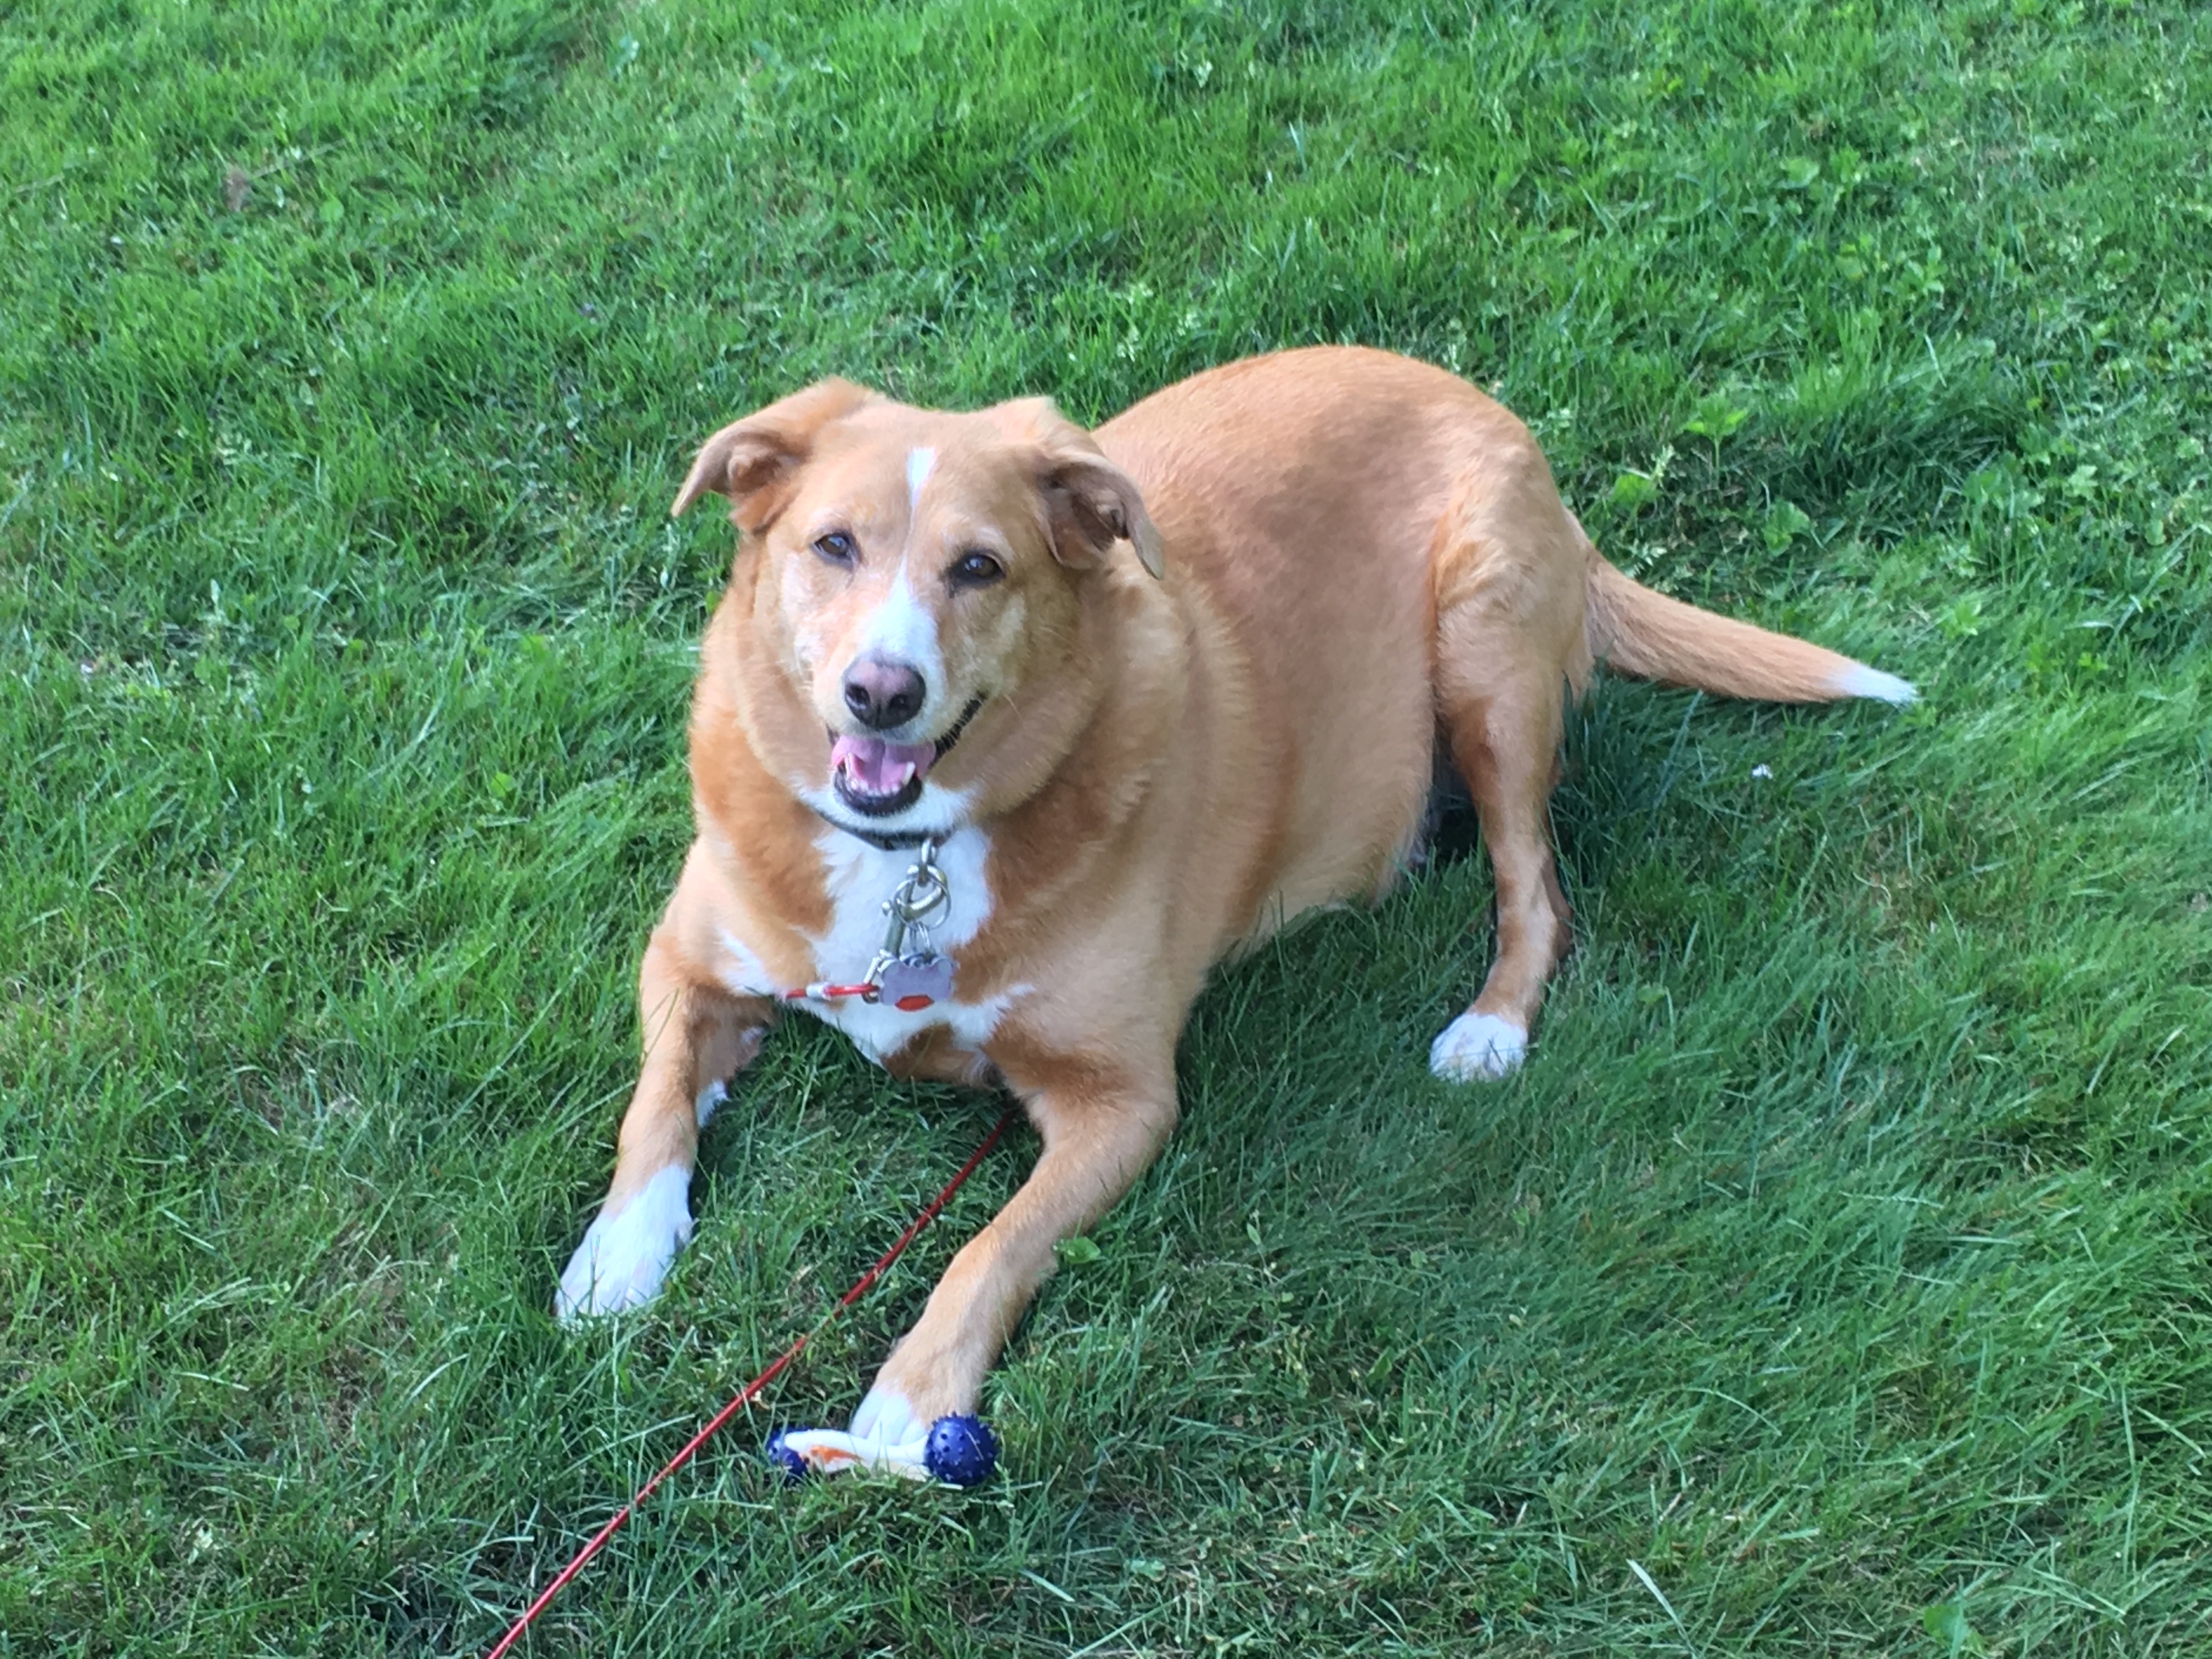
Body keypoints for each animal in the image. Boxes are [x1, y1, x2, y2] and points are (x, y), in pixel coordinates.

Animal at [556, 346, 1913, 1472]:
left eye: (980, 567)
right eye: (833, 547)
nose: (881, 693)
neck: (911, 858)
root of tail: (1487, 408)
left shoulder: (1123, 1101)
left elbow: (991, 1248)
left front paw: (904, 1408)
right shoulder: (687, 959)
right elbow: (654, 1104)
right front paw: (619, 1256)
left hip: (1487, 661)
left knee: (1537, 887)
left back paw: (1490, 1023)